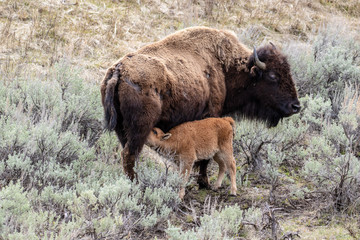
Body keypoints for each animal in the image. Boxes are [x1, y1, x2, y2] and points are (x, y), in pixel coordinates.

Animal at [101, 26, 300, 184]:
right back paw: (136, 184)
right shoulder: (212, 115)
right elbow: (206, 156)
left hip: (122, 129)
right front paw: (204, 182)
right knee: (130, 154)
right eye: (273, 76)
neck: (225, 67)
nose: (296, 106)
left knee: (128, 154)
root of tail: (119, 70)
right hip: (139, 128)